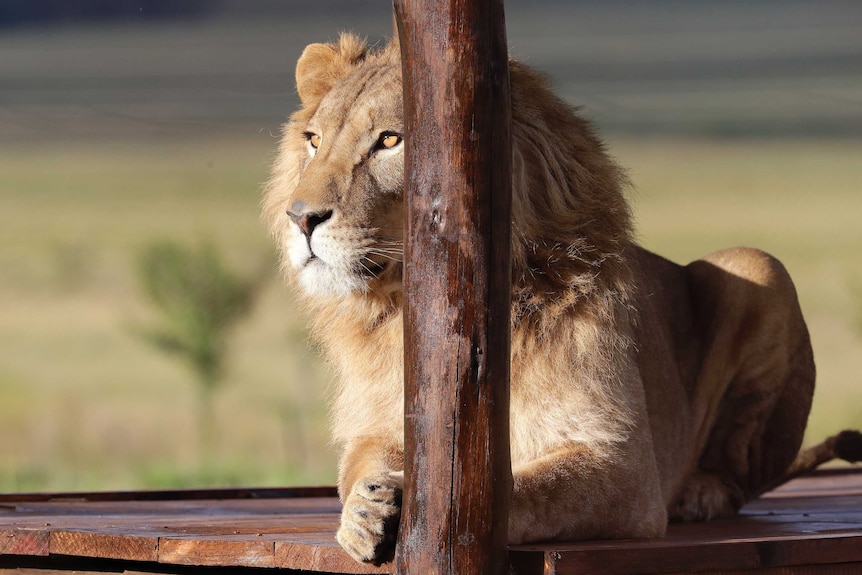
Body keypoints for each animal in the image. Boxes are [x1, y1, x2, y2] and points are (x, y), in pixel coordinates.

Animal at [264, 33, 862, 564]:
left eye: (390, 141)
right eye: (314, 141)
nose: (301, 218)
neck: (405, 304)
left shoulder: (623, 463)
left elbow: (524, 488)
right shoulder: (381, 421)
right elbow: (357, 467)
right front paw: (364, 516)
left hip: (758, 265)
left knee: (741, 479)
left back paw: (700, 492)